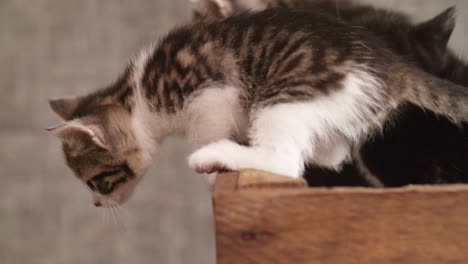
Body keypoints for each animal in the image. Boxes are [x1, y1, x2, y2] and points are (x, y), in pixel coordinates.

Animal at [46, 8, 468, 206]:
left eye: (96, 181)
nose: (96, 203)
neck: (134, 96)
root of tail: (389, 62)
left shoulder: (212, 91)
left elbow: (208, 127)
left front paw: (211, 171)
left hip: (285, 95)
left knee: (284, 161)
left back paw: (217, 156)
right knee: (332, 154)